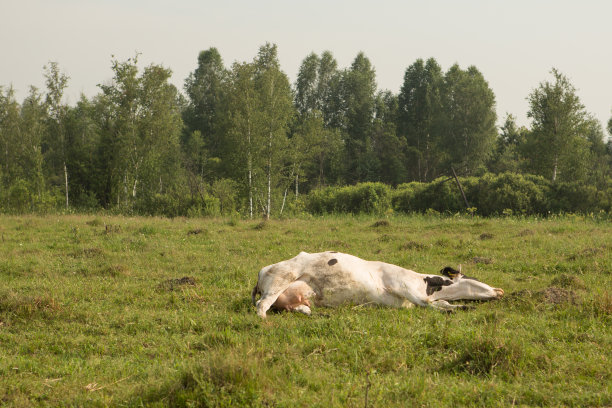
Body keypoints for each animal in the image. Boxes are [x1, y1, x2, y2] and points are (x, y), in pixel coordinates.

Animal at [251, 252, 504, 318]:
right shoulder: (404, 286)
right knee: (261, 306)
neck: (422, 282)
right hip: (280, 279)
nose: (500, 290)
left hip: (297, 300)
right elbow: (430, 304)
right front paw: (460, 307)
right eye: (477, 279)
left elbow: (439, 304)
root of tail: (262, 270)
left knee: (301, 309)